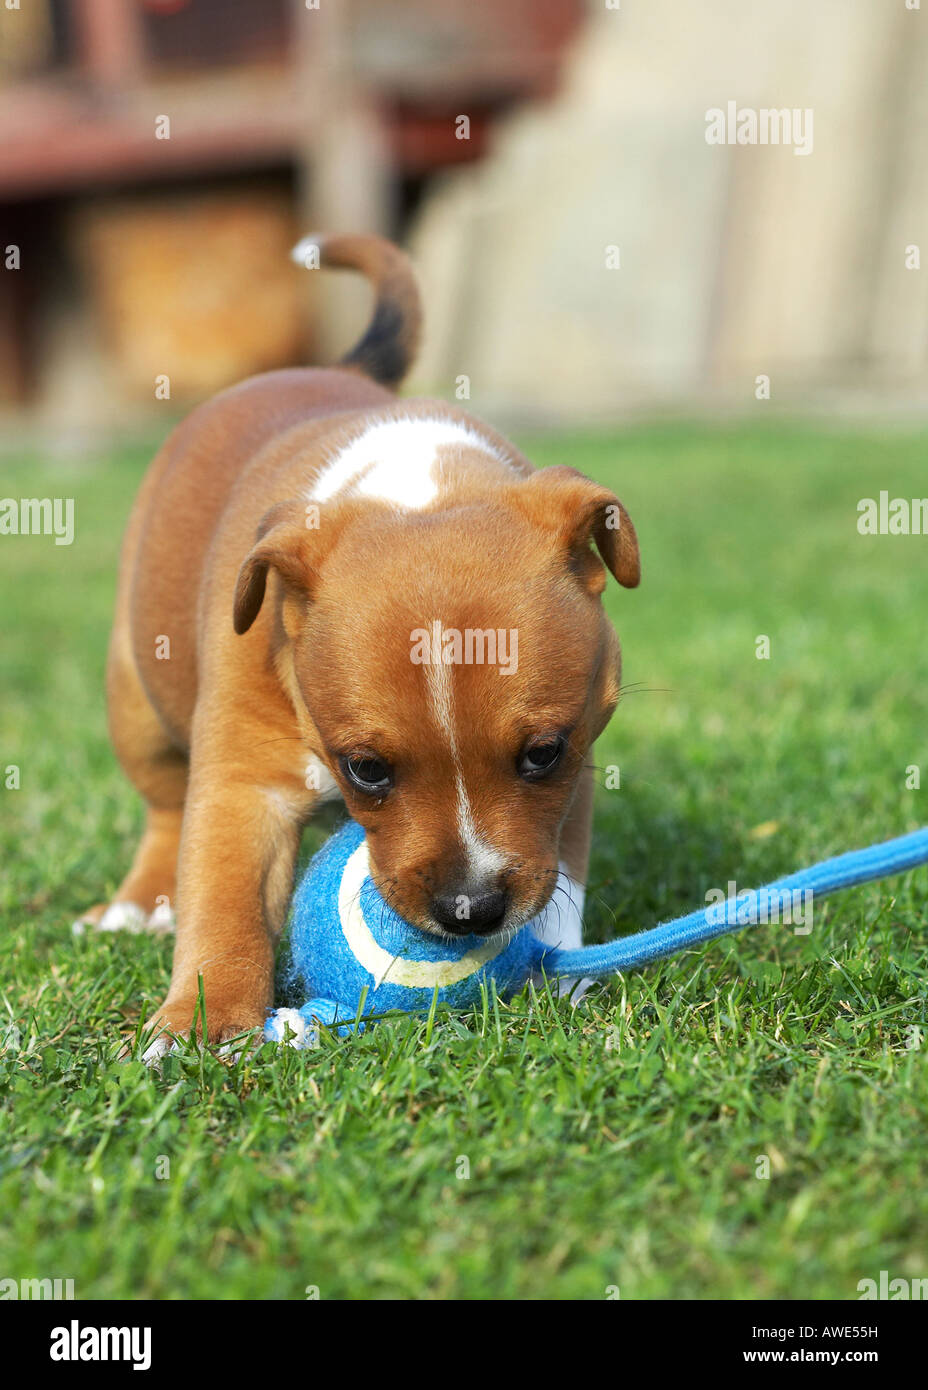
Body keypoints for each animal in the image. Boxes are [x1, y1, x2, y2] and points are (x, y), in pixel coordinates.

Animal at [81, 236, 639, 1050]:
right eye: (366, 769)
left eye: (543, 754)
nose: (470, 910)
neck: (419, 489)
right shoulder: (243, 785)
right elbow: (225, 904)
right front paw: (201, 1028)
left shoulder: (579, 765)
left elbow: (561, 873)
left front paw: (558, 971)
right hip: (135, 695)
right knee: (162, 804)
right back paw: (140, 902)